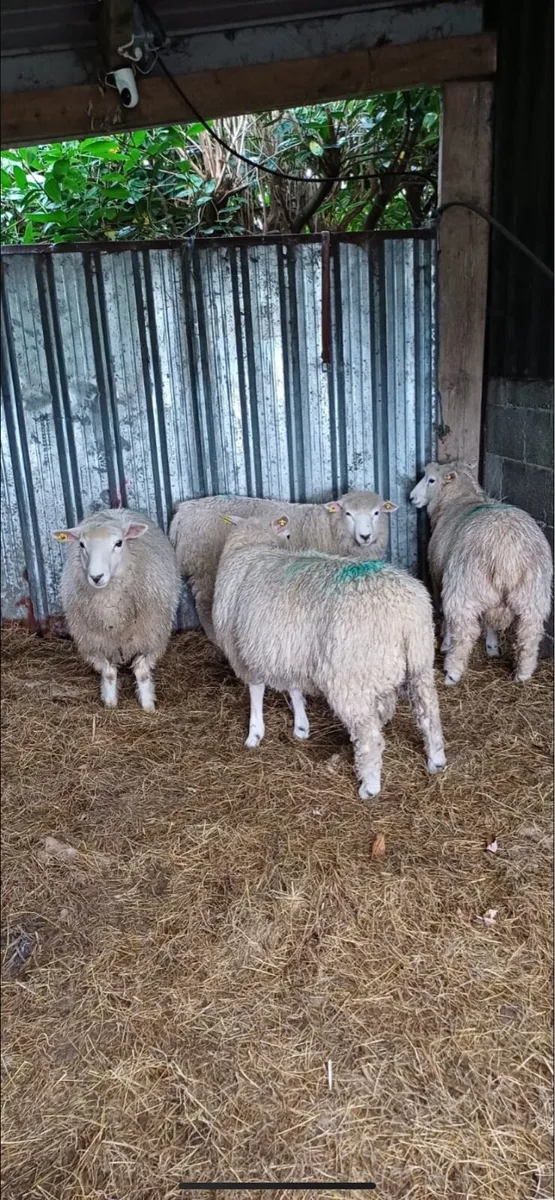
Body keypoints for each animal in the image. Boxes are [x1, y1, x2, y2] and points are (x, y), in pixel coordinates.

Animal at [52, 508, 180, 710]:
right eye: (81, 544)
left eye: (119, 543)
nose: (96, 577)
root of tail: (113, 509)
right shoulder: (94, 642)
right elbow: (109, 673)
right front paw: (110, 704)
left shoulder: (151, 638)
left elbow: (142, 672)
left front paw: (148, 706)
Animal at [169, 490, 398, 641]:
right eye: (348, 513)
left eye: (377, 512)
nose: (365, 536)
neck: (331, 527)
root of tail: (183, 510)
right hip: (204, 567)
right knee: (205, 607)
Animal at [211, 513, 446, 798]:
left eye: (288, 535)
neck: (253, 546)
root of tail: (403, 611)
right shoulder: (290, 651)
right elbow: (294, 689)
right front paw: (301, 727)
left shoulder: (244, 651)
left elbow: (256, 690)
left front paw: (254, 733)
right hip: (420, 663)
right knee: (429, 713)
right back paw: (436, 760)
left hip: (351, 679)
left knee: (369, 735)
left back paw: (369, 786)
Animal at [410, 461, 553, 685]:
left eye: (431, 479)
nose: (411, 498)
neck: (458, 500)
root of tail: (508, 554)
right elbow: (490, 621)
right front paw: (492, 647)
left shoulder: (438, 576)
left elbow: (445, 615)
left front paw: (445, 643)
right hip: (533, 593)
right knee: (529, 633)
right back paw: (523, 674)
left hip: (465, 587)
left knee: (464, 630)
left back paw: (452, 673)